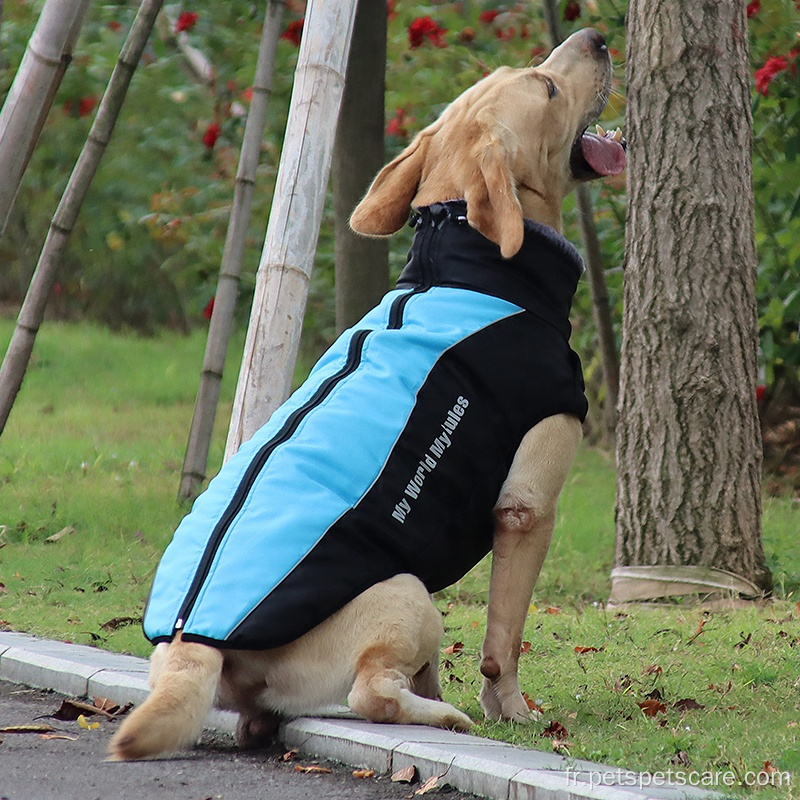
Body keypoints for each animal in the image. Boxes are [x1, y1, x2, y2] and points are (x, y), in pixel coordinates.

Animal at [108, 26, 624, 764]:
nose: (598, 35)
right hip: (406, 592)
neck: (466, 261)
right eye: (549, 88)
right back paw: (445, 719)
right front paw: (515, 714)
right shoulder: (527, 506)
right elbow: (504, 640)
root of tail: (194, 640)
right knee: (370, 693)